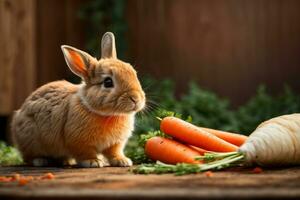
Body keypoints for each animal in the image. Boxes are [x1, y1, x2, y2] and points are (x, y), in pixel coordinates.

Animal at [11, 32, 146, 167]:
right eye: (108, 82)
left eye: (134, 73)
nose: (136, 98)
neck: (108, 115)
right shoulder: (79, 142)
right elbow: (85, 153)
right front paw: (94, 162)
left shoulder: (115, 144)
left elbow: (114, 152)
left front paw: (122, 161)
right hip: (31, 139)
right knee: (28, 157)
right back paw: (40, 161)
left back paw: (66, 161)